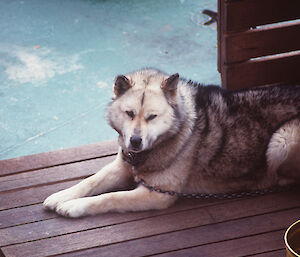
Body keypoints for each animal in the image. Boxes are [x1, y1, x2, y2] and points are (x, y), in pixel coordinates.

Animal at [43, 67, 298, 216]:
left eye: (152, 117)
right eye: (129, 113)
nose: (135, 141)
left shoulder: (157, 194)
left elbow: (109, 197)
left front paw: (74, 206)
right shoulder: (120, 166)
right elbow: (90, 181)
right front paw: (62, 196)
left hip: (283, 137)